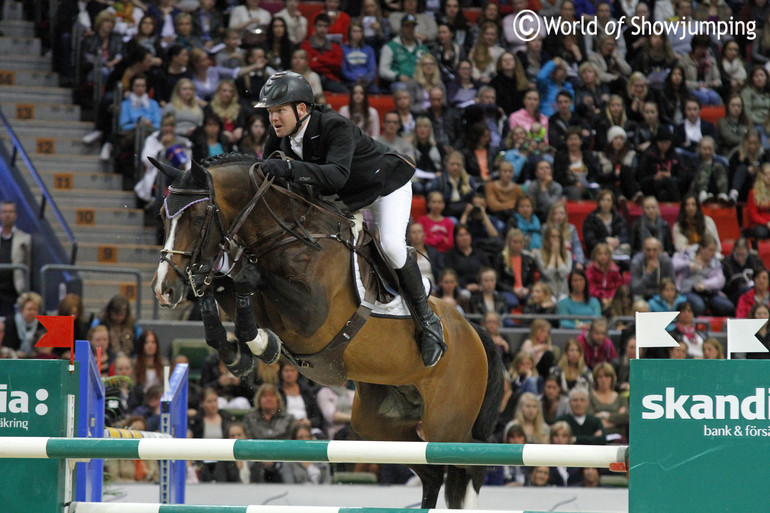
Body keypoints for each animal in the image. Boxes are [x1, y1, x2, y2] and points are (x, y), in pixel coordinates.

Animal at [148, 153, 504, 508]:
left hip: (447, 425)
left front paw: (261, 345)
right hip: (378, 424)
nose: (164, 290)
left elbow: (249, 281)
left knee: (469, 465)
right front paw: (239, 355)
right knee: (432, 472)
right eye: (163, 217)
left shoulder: (311, 315)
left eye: (196, 218)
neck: (287, 237)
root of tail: (474, 332)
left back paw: (432, 339)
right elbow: (224, 292)